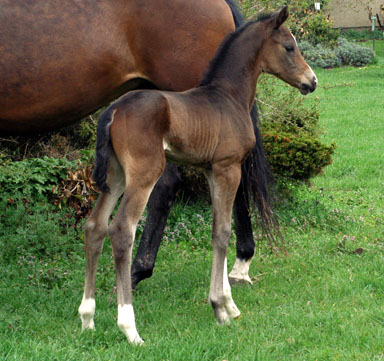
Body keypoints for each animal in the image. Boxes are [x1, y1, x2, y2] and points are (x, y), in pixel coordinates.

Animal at [78, 7, 316, 342]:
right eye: (289, 47)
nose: (312, 81)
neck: (228, 96)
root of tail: (113, 111)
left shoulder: (211, 170)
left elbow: (219, 229)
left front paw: (230, 304)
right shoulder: (228, 167)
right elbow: (223, 232)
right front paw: (220, 308)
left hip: (115, 176)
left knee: (94, 226)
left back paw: (87, 318)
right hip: (143, 173)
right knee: (122, 229)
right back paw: (130, 328)